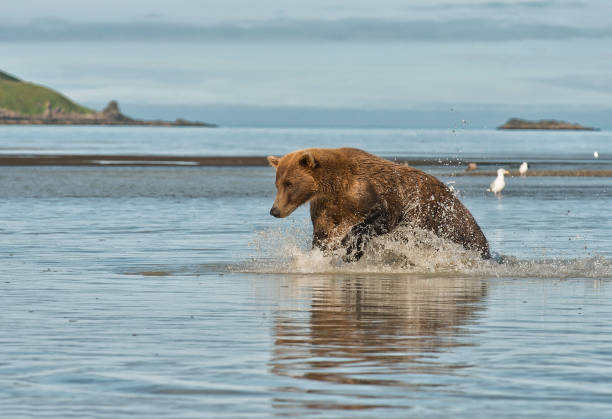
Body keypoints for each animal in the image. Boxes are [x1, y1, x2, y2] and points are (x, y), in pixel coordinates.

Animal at [268, 146, 492, 260]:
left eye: (289, 183)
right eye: (277, 183)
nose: (274, 210)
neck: (335, 186)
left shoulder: (370, 193)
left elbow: (380, 217)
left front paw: (351, 247)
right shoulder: (325, 207)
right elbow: (323, 234)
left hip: (448, 220)